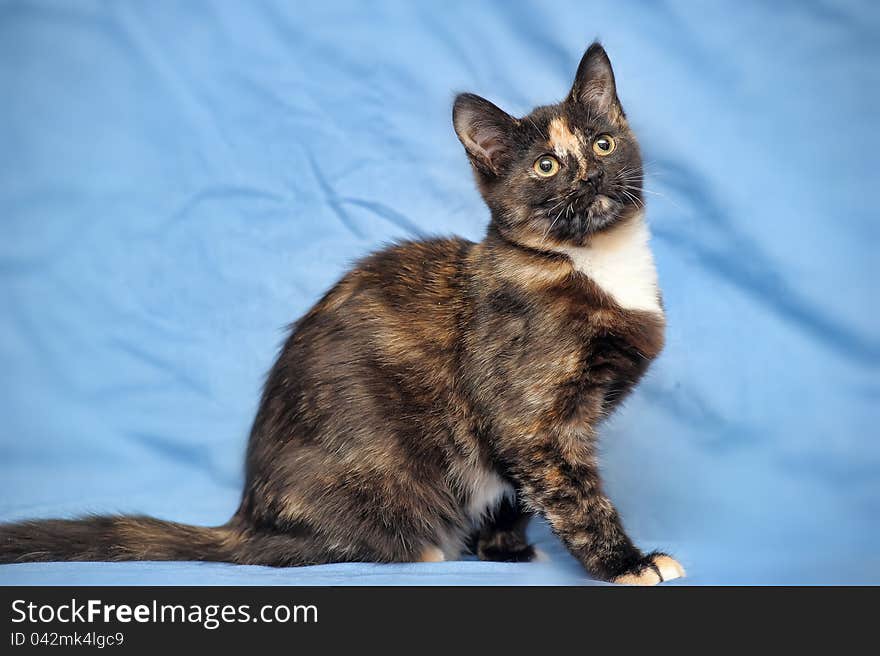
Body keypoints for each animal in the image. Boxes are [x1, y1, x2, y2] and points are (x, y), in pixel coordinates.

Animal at [0, 42, 684, 584]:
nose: (591, 176)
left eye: (603, 143)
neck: (591, 262)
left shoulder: (530, 435)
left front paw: (505, 550)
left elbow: (517, 495)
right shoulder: (529, 417)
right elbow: (574, 495)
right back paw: (421, 550)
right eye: (546, 165)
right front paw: (625, 563)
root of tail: (247, 518)